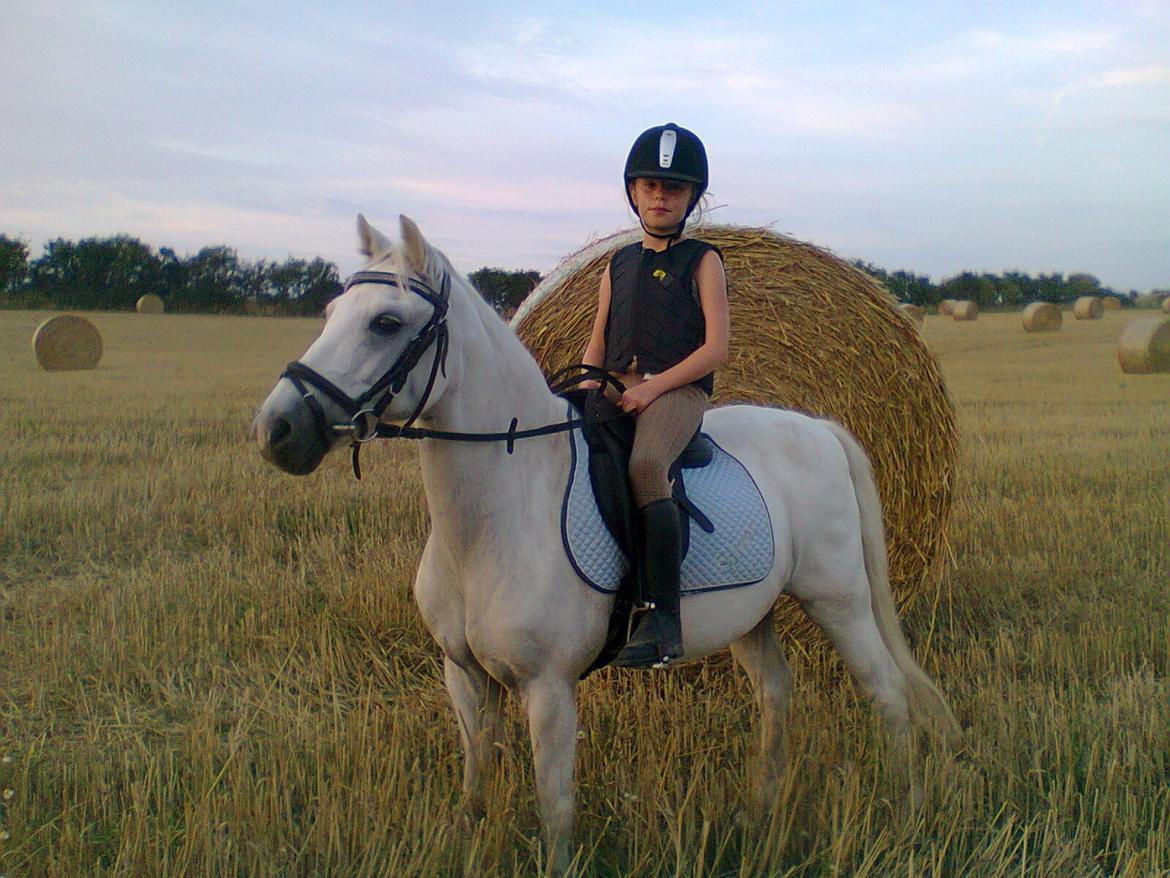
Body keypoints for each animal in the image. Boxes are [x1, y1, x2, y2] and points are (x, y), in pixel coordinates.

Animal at [253, 214, 960, 874]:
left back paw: (907, 815)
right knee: (776, 696)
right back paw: (760, 815)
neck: (494, 519)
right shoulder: (465, 676)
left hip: (838, 599)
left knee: (888, 695)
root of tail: (819, 428)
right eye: (331, 314)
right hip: (754, 616)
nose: (276, 430)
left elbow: (555, 808)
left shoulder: (549, 688)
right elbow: (476, 789)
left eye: (387, 323)